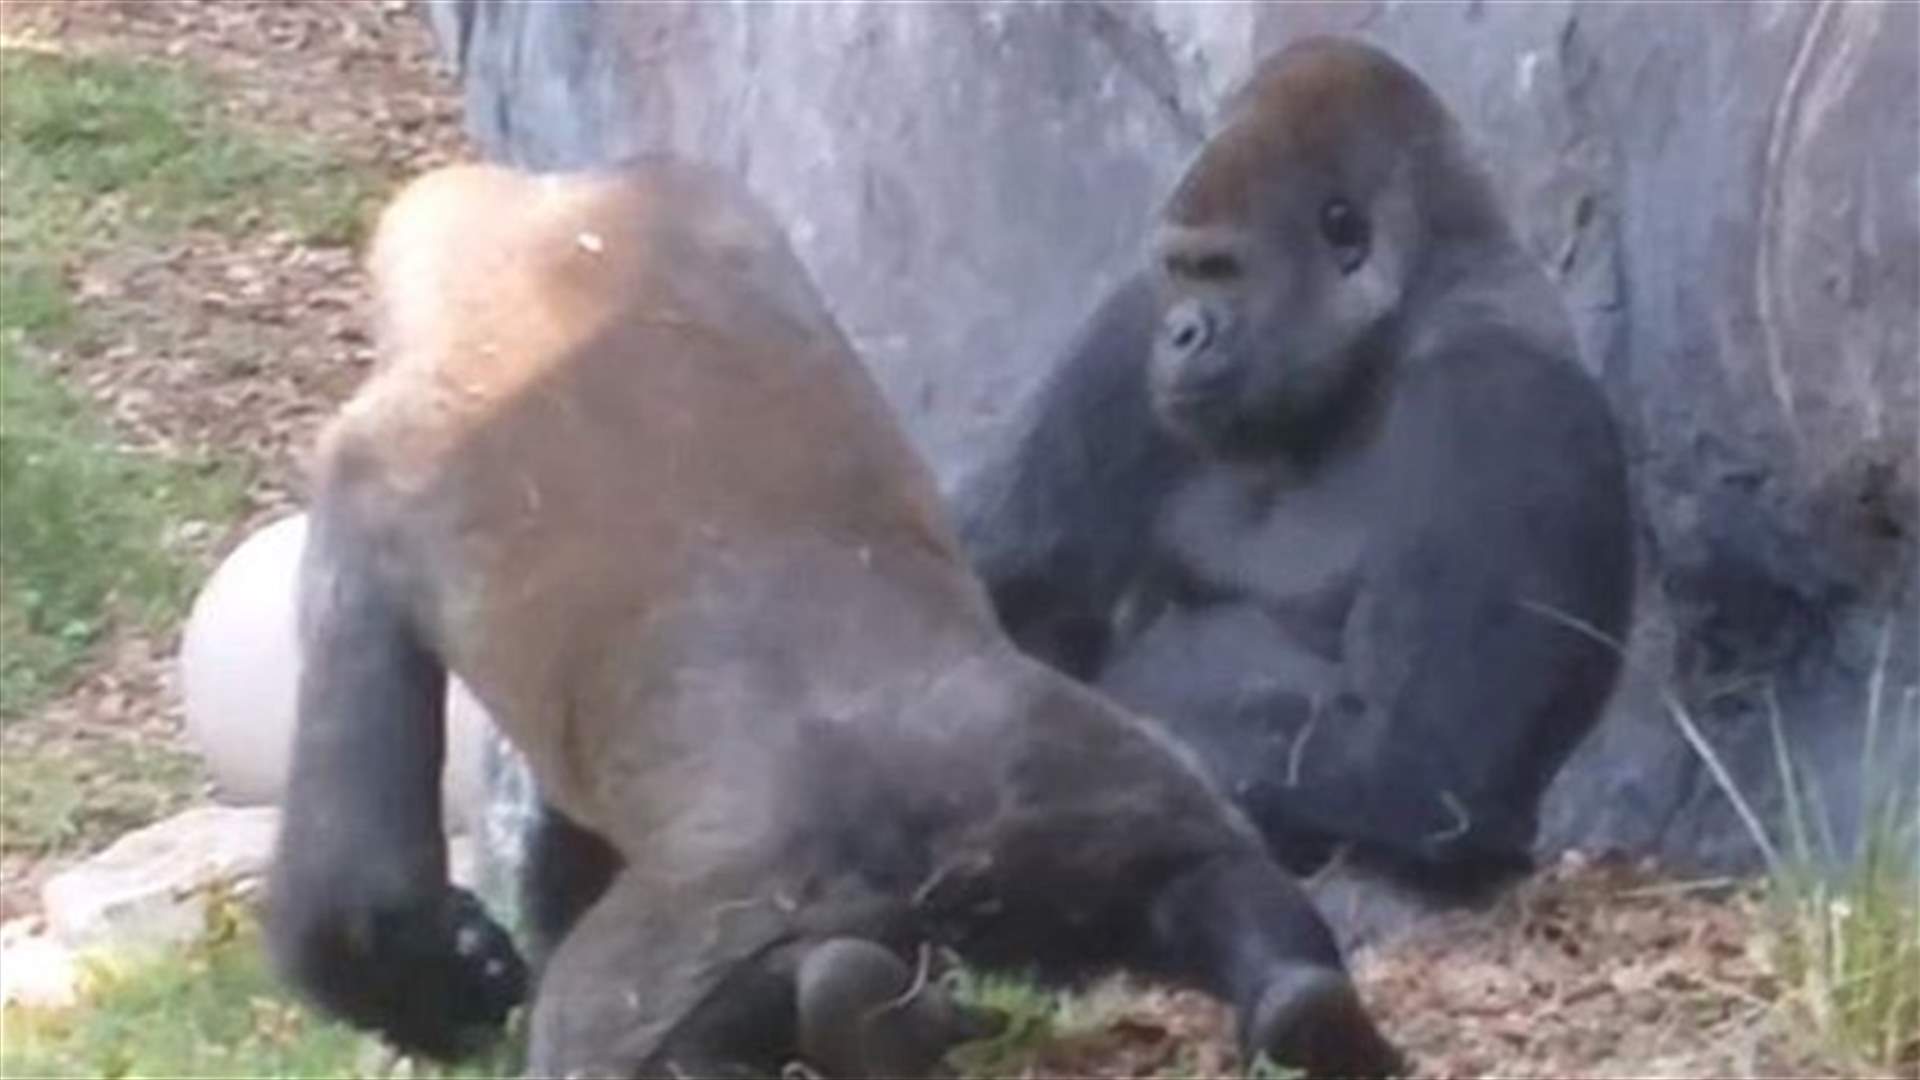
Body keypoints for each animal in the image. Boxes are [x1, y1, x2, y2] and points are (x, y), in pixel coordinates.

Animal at [265, 160, 1404, 1079]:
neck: (533, 243)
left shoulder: (366, 487)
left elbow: (358, 895)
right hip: (1086, 784)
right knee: (1212, 875)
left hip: (722, 921)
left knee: (608, 1032)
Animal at [958, 36, 1635, 897]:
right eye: (1179, 269)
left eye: (1225, 268)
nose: (1179, 334)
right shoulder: (1124, 331)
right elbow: (985, 575)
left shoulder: (1502, 402)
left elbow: (1427, 759)